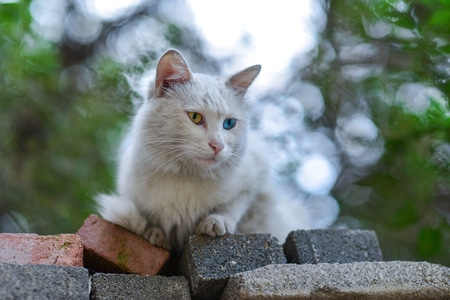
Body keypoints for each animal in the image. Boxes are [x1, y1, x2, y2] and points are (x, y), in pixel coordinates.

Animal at [97, 49, 316, 253]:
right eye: (195, 117)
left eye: (229, 123)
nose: (217, 145)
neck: (188, 178)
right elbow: (149, 221)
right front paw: (155, 234)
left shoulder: (254, 183)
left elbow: (233, 207)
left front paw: (215, 223)